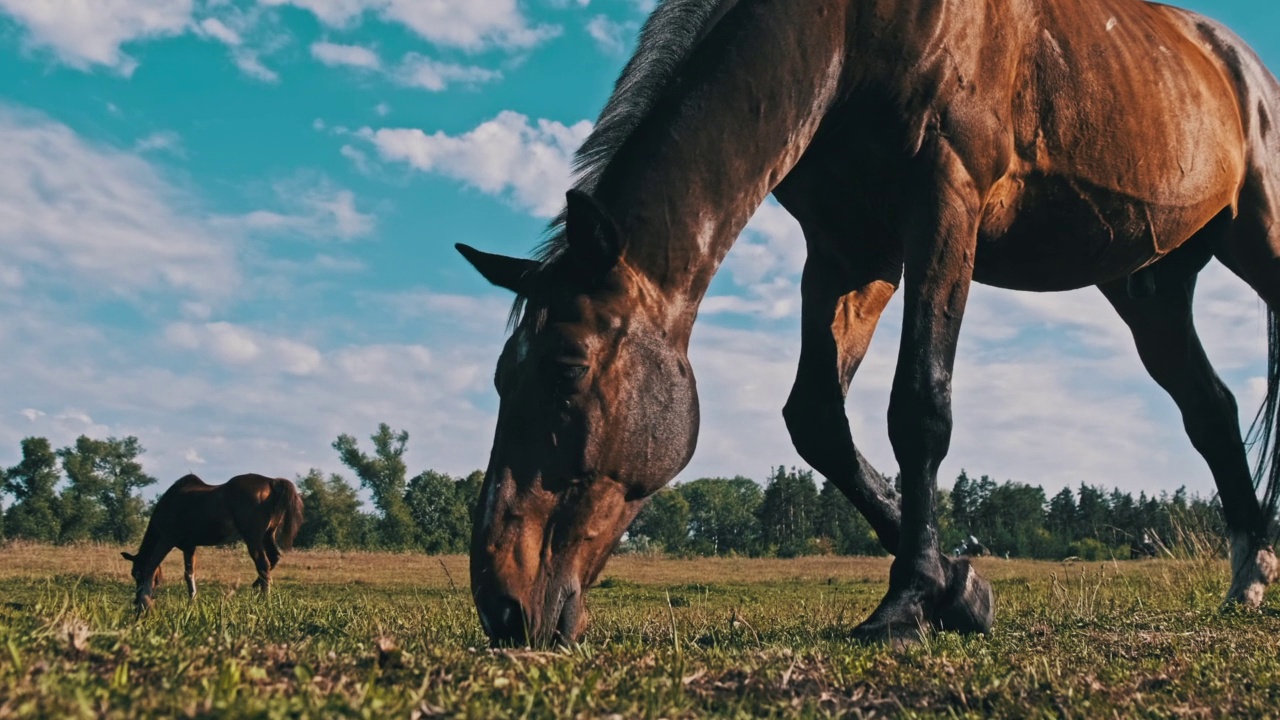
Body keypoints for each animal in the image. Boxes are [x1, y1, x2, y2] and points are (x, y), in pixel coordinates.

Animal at [123, 474, 305, 607]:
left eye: (136, 573)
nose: (135, 600)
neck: (171, 503)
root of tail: (271, 482)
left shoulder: (167, 539)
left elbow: (152, 565)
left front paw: (145, 600)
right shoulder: (189, 547)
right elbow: (189, 573)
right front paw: (192, 600)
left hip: (253, 539)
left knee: (264, 565)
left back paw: (264, 598)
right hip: (268, 535)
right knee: (273, 559)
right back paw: (257, 587)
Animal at [455, 0, 1280, 645]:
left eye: (566, 368)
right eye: (501, 379)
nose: (502, 605)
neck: (850, 29)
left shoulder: (945, 202)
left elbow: (919, 406)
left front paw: (909, 601)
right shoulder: (851, 249)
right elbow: (818, 420)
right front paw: (959, 590)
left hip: (1258, 241)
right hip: (1149, 287)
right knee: (1210, 410)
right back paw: (1249, 575)